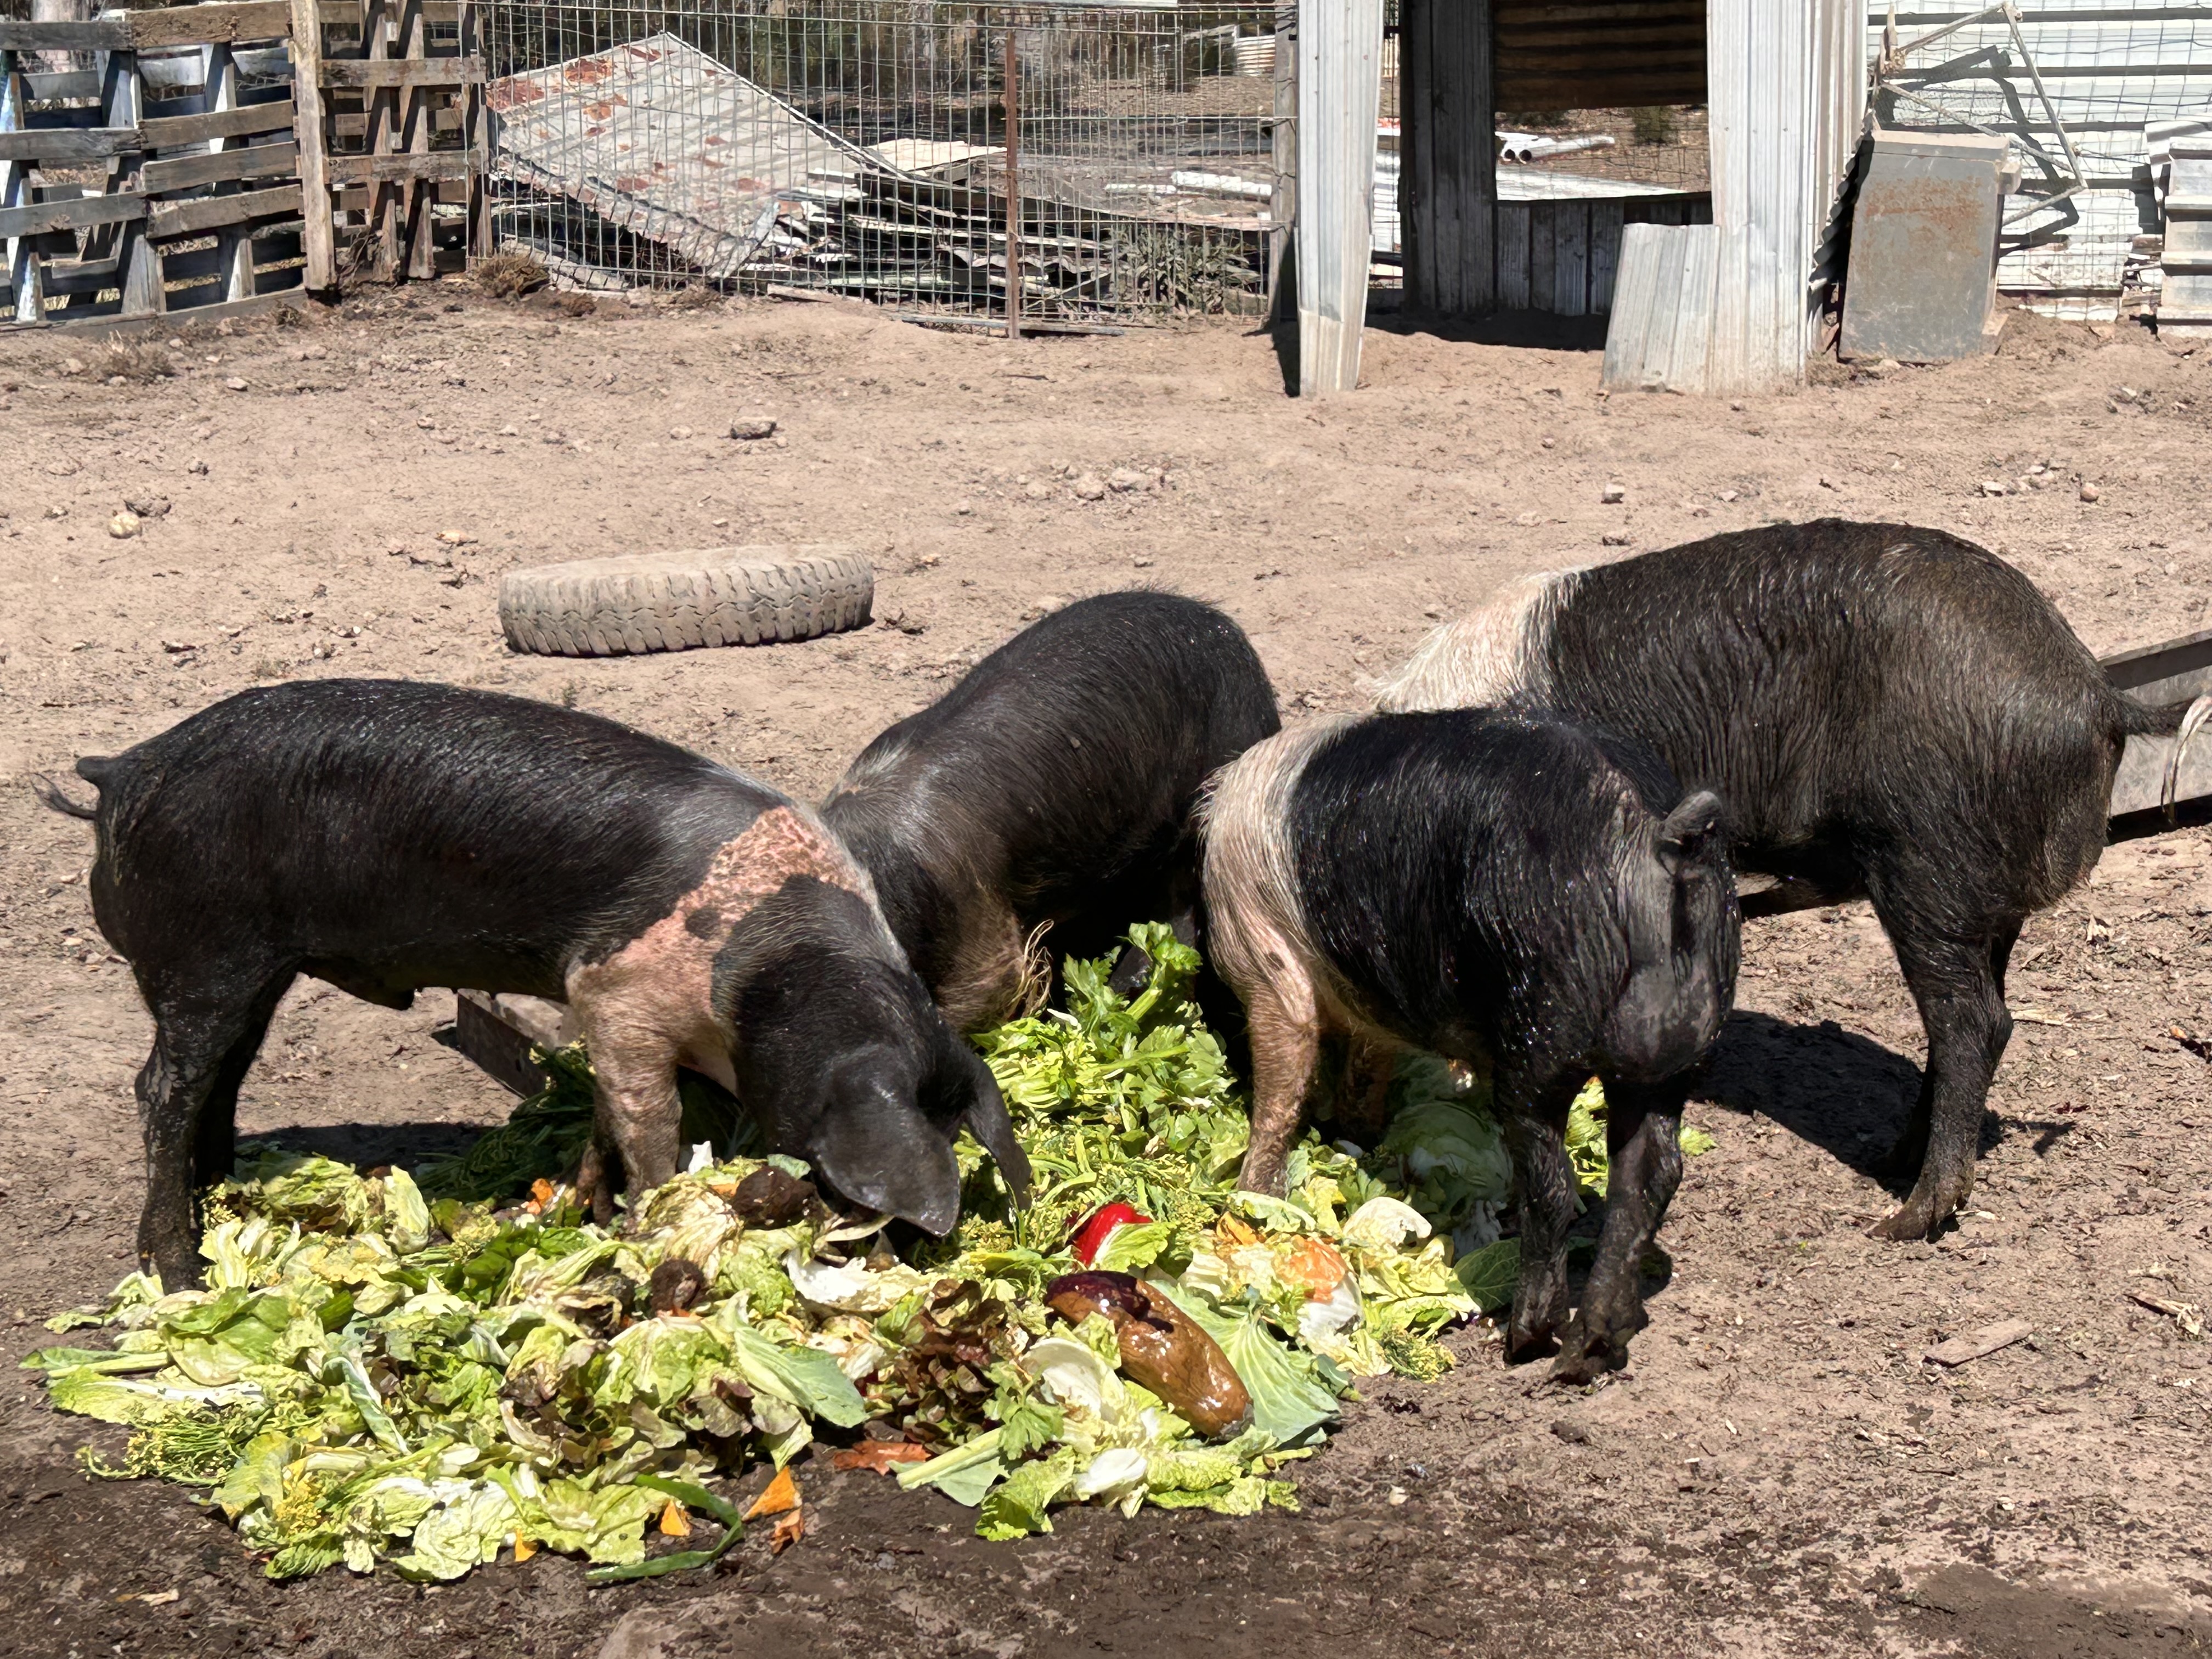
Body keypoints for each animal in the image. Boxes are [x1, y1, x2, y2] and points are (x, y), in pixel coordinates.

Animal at [33, 678, 1029, 1287]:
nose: (908, 1250)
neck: (760, 978)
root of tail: (124, 769)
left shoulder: (607, 1013)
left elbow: (603, 1120)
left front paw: (587, 1211)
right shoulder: (614, 988)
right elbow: (652, 1127)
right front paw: (648, 1227)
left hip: (253, 970)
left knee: (223, 1077)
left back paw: (222, 1192)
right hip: (206, 955)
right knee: (162, 1086)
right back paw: (181, 1270)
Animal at [1201, 707, 1738, 1381]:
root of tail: (1658, 844)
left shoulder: (1264, 958)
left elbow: (1282, 1089)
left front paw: (1249, 1205)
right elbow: (1368, 1068)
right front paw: (1357, 1135)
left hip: (1540, 1039)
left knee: (1553, 1184)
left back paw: (1525, 1342)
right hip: (1676, 1055)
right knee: (1650, 1178)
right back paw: (1591, 1351)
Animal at [1378, 519, 2211, 1240]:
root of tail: (2097, 695)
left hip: (1925, 862)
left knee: (1974, 1021)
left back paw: (1904, 1219)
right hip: (1986, 899)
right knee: (1981, 1017)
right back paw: (1891, 1159)